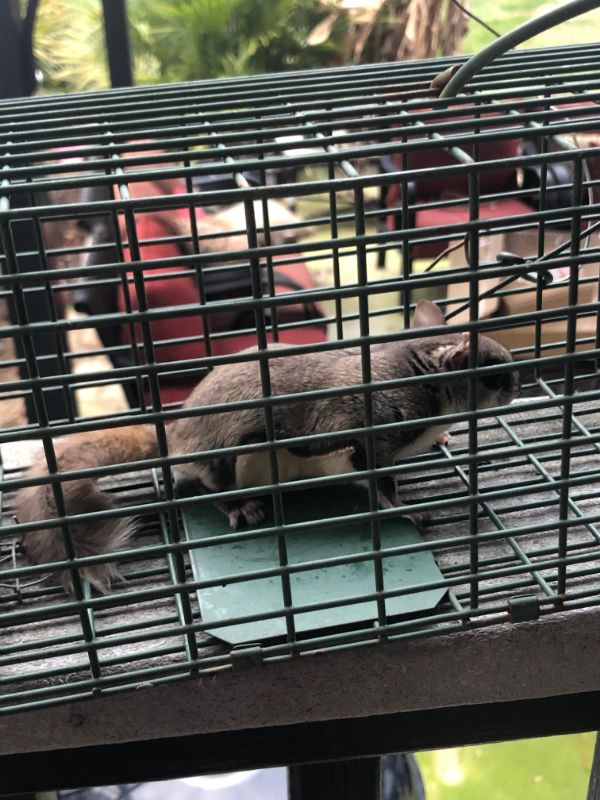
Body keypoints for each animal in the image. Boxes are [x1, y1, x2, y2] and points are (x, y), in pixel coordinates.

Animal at [15, 300, 519, 592]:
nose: (519, 383)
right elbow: (376, 483)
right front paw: (407, 513)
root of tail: (174, 436)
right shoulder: (365, 431)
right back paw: (241, 507)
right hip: (234, 454)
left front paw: (444, 438)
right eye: (493, 372)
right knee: (207, 487)